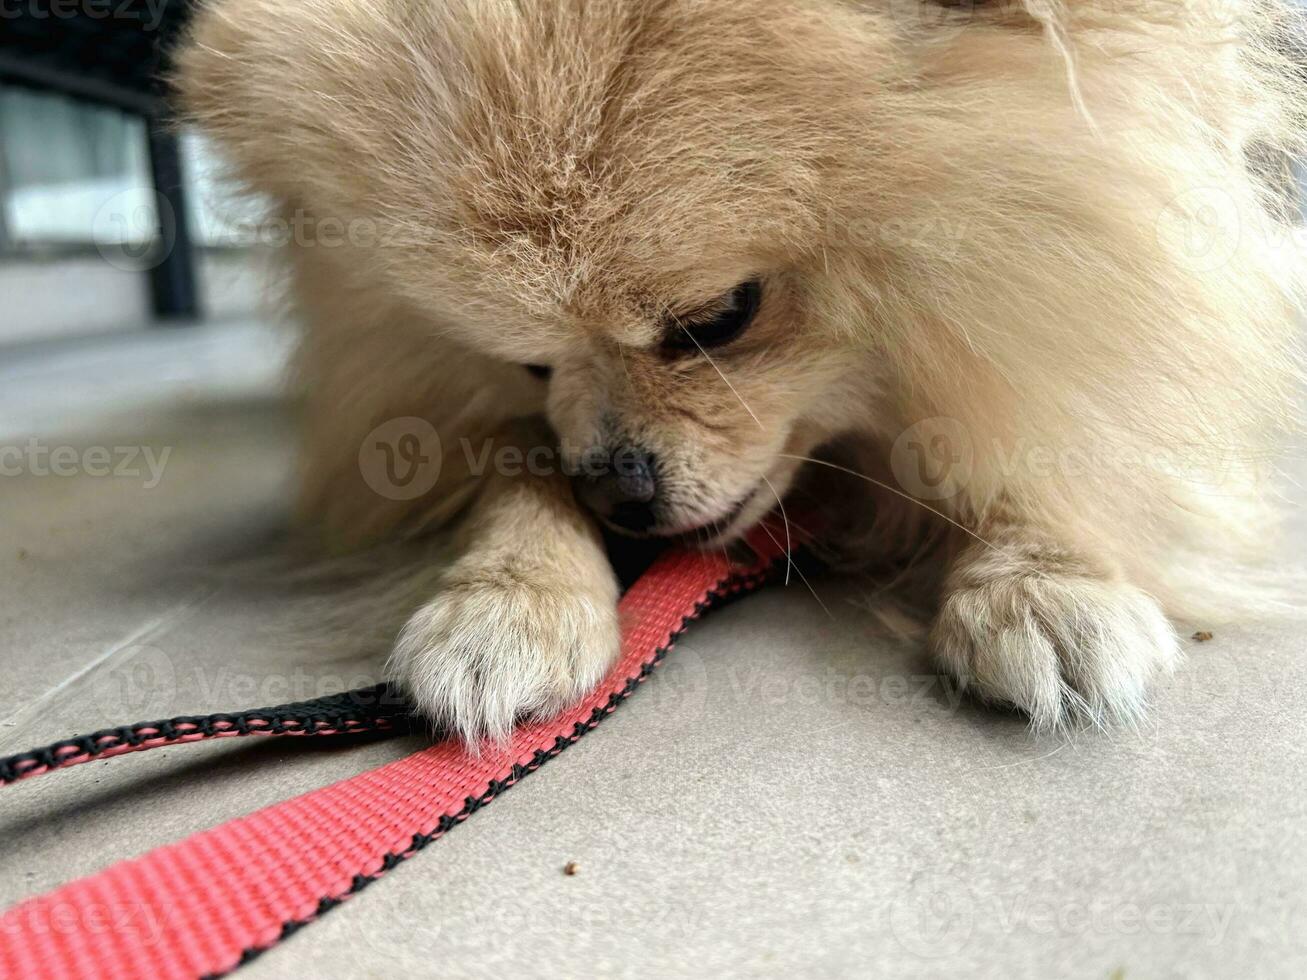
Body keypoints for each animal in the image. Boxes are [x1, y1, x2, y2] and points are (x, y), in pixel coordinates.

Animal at [171, 0, 1296, 736]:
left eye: (718, 319)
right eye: (528, 364)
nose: (616, 490)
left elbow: (1057, 417)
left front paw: (1045, 576)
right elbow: (512, 478)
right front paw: (510, 596)